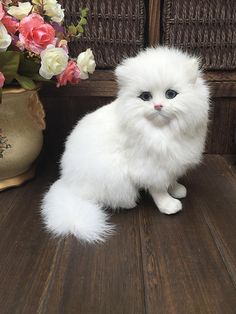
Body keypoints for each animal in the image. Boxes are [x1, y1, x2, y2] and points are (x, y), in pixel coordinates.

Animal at [41, 46, 209, 243]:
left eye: (171, 94)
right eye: (145, 97)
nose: (158, 106)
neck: (163, 131)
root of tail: (68, 184)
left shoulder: (171, 162)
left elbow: (171, 179)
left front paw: (176, 189)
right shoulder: (149, 168)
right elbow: (159, 189)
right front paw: (168, 205)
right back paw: (129, 204)